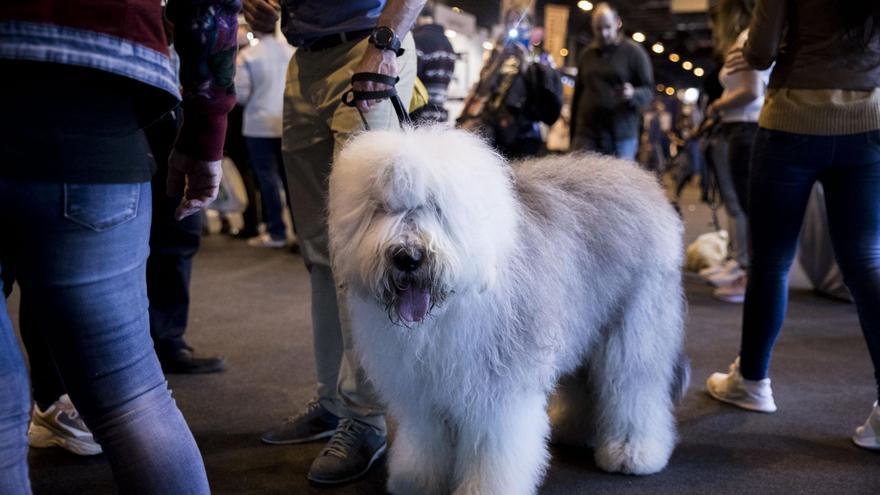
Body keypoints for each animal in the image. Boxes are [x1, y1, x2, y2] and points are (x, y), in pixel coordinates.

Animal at [328, 128, 688, 495]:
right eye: (381, 208)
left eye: (435, 207)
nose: (407, 257)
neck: (450, 308)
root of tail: (642, 177)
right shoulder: (424, 391)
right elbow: (426, 441)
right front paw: (418, 482)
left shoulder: (499, 391)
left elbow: (493, 448)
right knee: (583, 380)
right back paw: (575, 431)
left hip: (634, 325)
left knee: (635, 386)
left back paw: (633, 452)